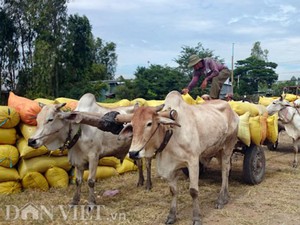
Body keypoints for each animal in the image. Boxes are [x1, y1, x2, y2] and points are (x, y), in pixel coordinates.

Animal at [117, 90, 239, 225]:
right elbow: (173, 191)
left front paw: (196, 217)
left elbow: (193, 191)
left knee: (225, 172)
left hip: (228, 147)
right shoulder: (171, 168)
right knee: (225, 170)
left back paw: (221, 199)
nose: (133, 153)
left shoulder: (193, 162)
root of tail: (232, 110)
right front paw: (171, 216)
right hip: (218, 150)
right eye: (132, 125)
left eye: (149, 123)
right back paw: (226, 196)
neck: (171, 134)